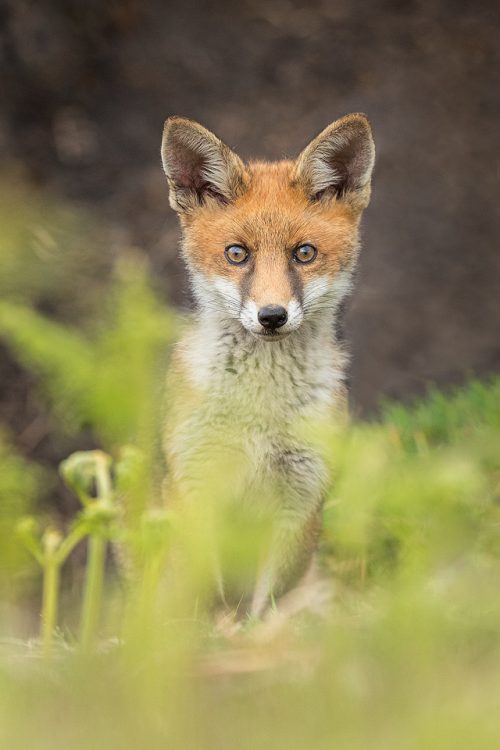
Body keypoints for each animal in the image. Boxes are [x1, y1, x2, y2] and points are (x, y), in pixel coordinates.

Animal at [160, 111, 376, 616]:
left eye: (305, 253)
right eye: (237, 254)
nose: (272, 316)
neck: (260, 413)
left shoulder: (301, 498)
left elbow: (265, 607)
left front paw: (252, 635)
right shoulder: (196, 482)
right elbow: (210, 599)